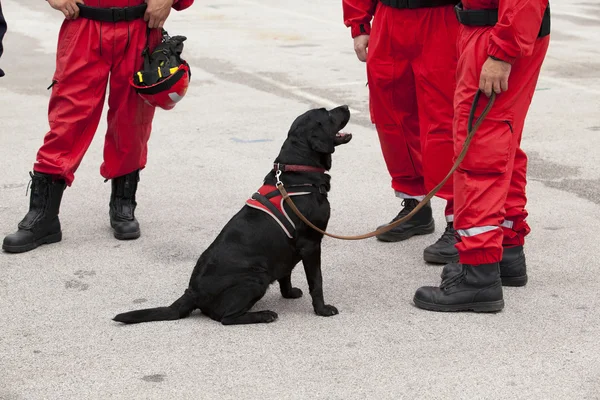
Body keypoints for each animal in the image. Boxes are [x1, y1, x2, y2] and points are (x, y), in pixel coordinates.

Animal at [112, 106, 352, 324]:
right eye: (328, 113)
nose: (347, 106)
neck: (298, 171)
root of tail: (192, 292)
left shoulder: (290, 248)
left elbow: (286, 274)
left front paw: (289, 293)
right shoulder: (311, 244)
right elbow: (317, 281)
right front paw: (322, 310)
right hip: (256, 276)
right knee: (225, 318)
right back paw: (264, 315)